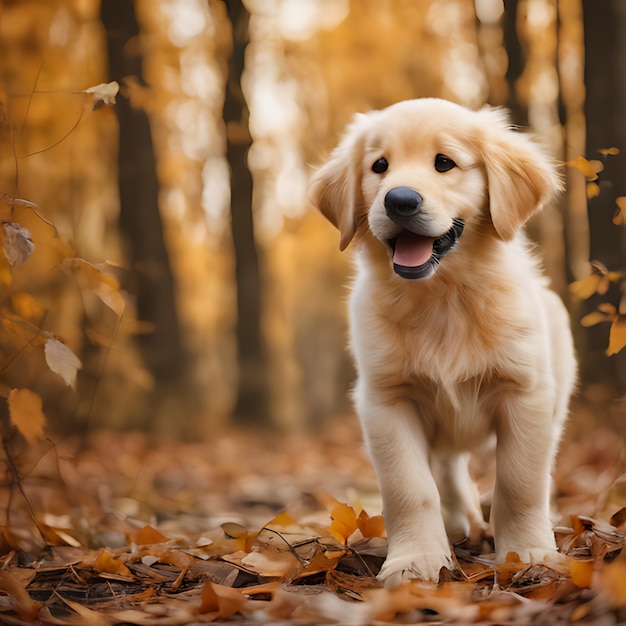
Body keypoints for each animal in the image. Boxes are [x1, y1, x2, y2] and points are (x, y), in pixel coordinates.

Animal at [308, 97, 576, 584]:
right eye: (380, 166)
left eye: (444, 163)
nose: (399, 199)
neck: (443, 297)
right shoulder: (386, 400)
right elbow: (409, 487)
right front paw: (415, 559)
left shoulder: (525, 392)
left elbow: (520, 482)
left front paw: (527, 553)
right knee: (448, 469)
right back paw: (457, 523)